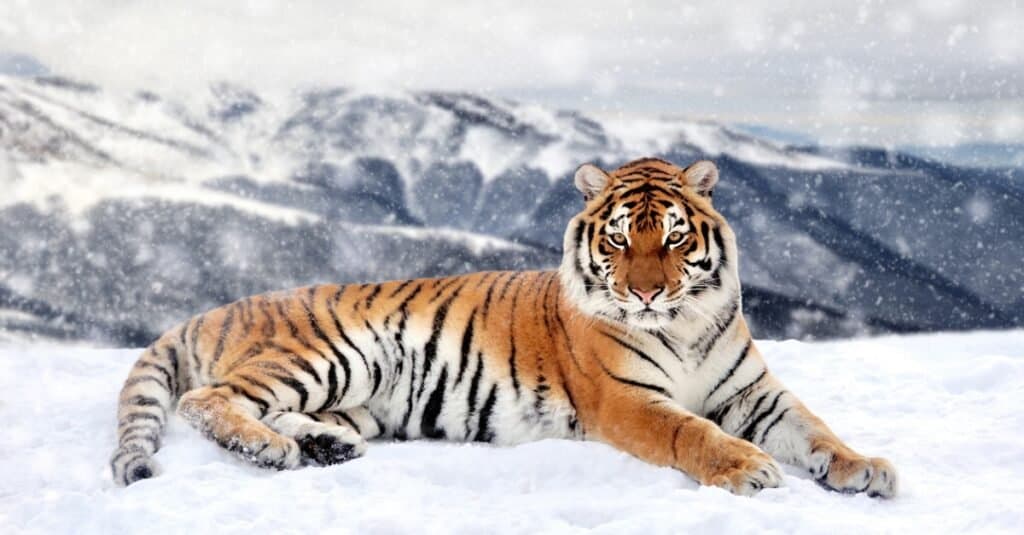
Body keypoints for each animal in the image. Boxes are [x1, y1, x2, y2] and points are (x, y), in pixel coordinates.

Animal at [110, 154, 897, 496]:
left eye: (674, 238)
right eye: (620, 239)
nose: (645, 293)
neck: (687, 323)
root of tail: (220, 306)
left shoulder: (753, 392)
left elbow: (814, 428)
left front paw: (865, 468)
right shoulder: (628, 400)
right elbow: (692, 432)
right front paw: (749, 468)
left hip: (353, 396)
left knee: (278, 411)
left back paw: (323, 447)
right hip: (332, 353)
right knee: (207, 400)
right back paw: (270, 450)